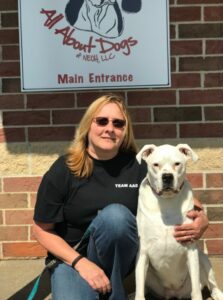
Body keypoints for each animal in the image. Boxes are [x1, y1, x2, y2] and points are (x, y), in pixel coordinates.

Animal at [134, 144, 223, 298]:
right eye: (156, 164)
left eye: (177, 164)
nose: (167, 176)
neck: (167, 200)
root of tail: (174, 292)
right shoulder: (143, 251)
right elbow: (139, 292)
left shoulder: (191, 249)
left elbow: (196, 290)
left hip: (203, 258)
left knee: (211, 283)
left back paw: (218, 294)